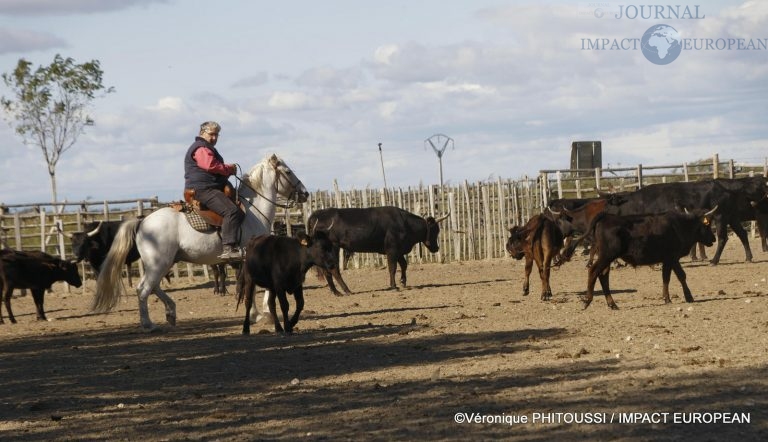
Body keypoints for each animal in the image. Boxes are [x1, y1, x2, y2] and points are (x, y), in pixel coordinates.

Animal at [95, 154, 308, 330]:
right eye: (288, 172)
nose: (305, 193)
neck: (254, 212)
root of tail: (142, 221)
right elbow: (254, 288)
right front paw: (262, 314)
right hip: (158, 264)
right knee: (143, 289)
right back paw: (148, 324)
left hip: (164, 263)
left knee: (153, 287)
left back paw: (171, 312)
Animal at [308, 206, 450, 294]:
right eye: (435, 230)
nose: (436, 248)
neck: (405, 223)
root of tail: (316, 214)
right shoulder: (392, 249)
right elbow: (392, 268)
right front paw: (394, 286)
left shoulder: (398, 250)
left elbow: (404, 265)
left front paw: (403, 281)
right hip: (333, 247)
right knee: (334, 269)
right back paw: (346, 290)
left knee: (327, 271)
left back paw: (335, 291)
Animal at [576, 208, 720, 310]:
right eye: (707, 225)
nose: (714, 239)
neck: (680, 226)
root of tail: (607, 217)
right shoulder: (672, 258)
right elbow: (678, 276)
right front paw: (685, 297)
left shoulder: (669, 260)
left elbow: (669, 277)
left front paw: (670, 297)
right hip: (607, 256)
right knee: (593, 271)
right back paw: (588, 300)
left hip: (607, 258)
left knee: (603, 276)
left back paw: (612, 304)